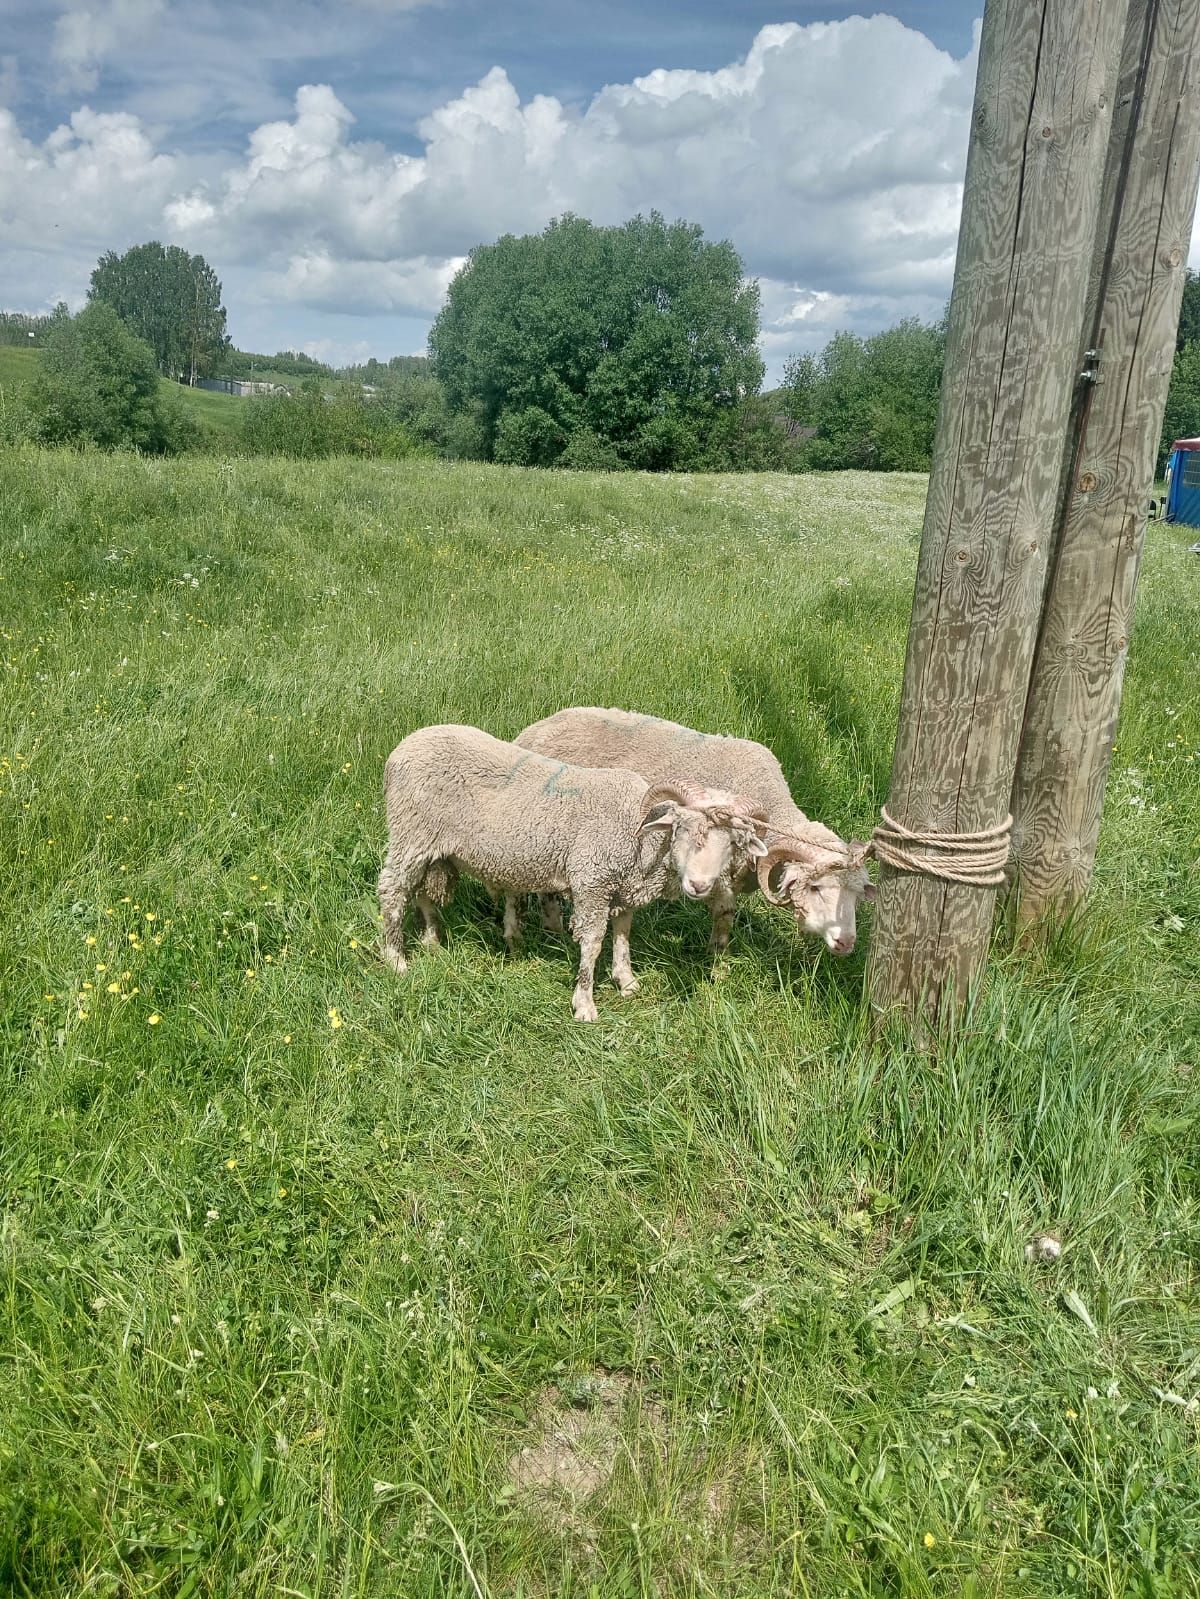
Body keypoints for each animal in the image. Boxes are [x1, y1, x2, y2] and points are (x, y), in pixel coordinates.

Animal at [377, 719, 771, 1016]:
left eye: (734, 843)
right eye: (683, 829)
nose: (700, 886)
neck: (640, 834)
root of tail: (403, 747)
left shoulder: (622, 887)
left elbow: (623, 934)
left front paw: (626, 980)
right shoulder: (591, 881)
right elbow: (593, 943)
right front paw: (584, 1003)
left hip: (431, 846)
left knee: (420, 891)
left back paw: (431, 942)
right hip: (410, 832)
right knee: (392, 892)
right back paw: (396, 960)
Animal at [515, 716, 876, 959]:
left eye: (858, 897)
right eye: (816, 888)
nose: (846, 943)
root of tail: (530, 732)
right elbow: (725, 915)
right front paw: (718, 959)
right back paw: (553, 928)